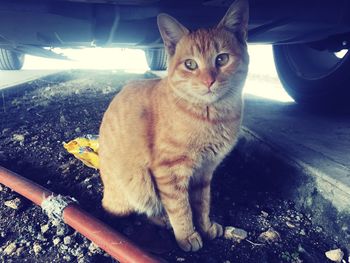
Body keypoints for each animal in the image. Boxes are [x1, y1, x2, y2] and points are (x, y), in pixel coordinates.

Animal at [99, 0, 249, 253]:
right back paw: (162, 219)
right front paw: (187, 235)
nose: (209, 81)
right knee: (145, 208)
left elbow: (202, 203)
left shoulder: (205, 171)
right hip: (140, 182)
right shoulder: (169, 171)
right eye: (190, 64)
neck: (212, 116)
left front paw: (205, 227)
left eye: (221, 59)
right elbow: (181, 208)